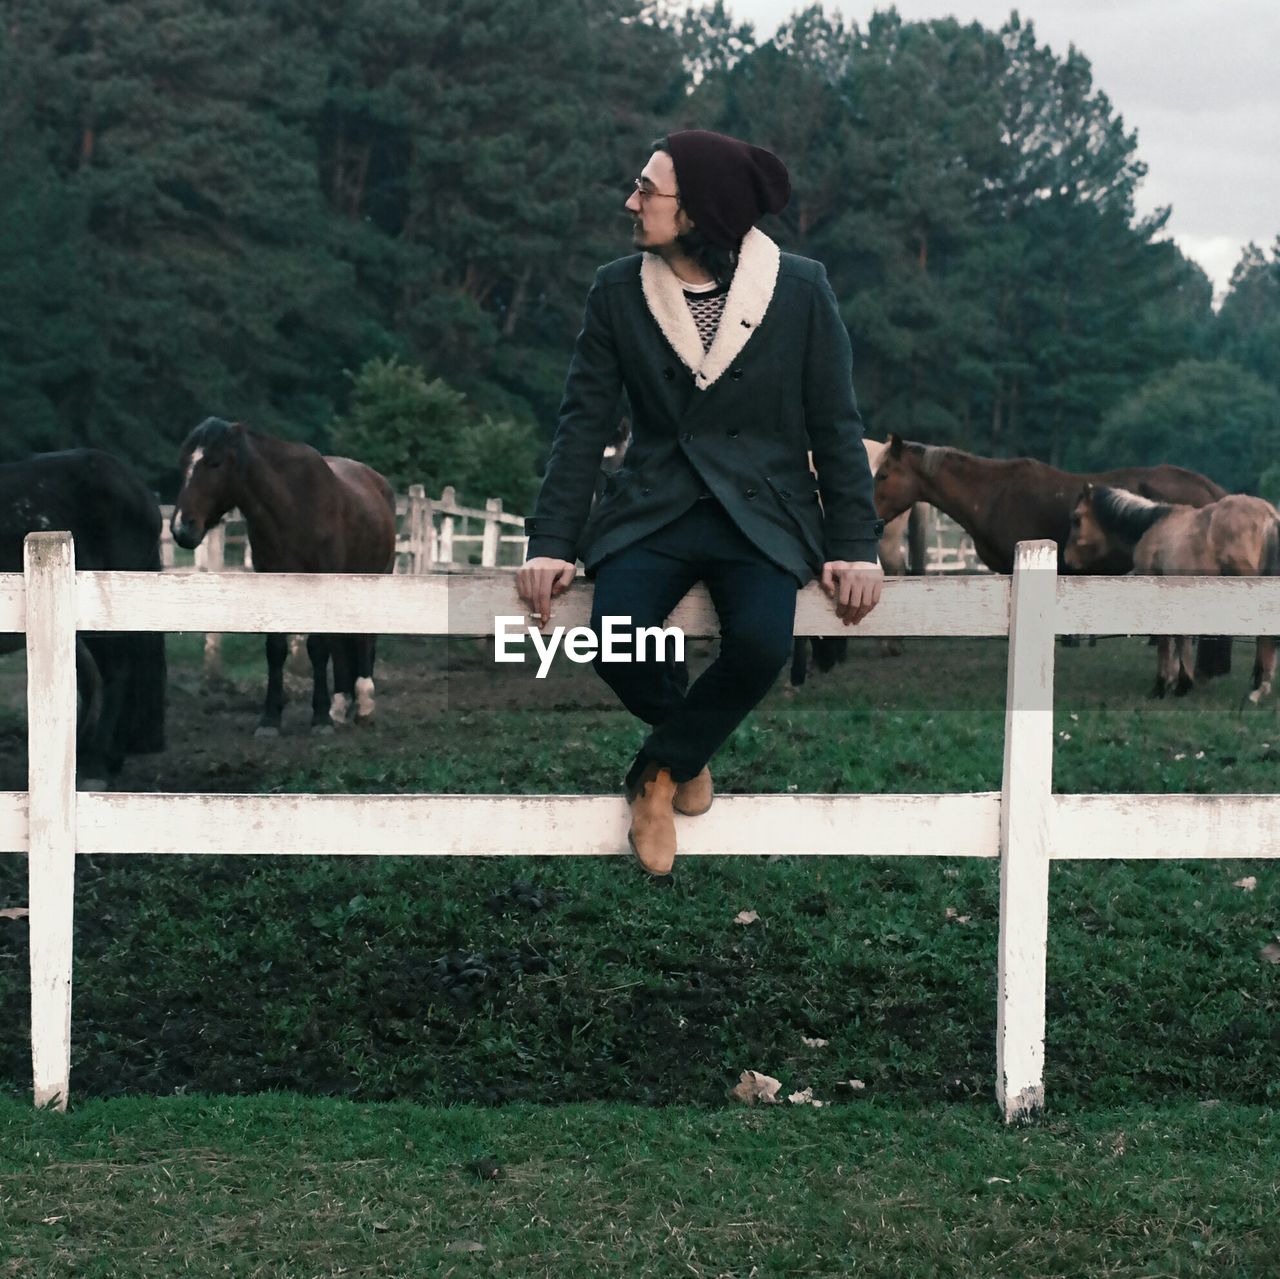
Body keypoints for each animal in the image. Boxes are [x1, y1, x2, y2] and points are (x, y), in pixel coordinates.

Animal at [170, 419, 396, 737]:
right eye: (182, 464)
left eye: (214, 463)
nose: (181, 528)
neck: (292, 507)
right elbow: (276, 650)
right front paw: (270, 719)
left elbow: (318, 648)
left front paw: (320, 719)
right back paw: (341, 706)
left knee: (365, 638)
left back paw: (364, 706)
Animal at [1059, 481, 1280, 701]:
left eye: (1076, 519)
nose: (1068, 559)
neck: (1152, 526)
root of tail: (1269, 514)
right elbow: (1180, 638)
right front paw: (1180, 682)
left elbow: (1166, 639)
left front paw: (1162, 685)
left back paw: (1259, 689)